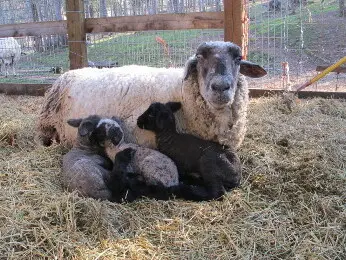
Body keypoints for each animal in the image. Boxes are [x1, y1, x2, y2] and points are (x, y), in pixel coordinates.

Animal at [37, 41, 264, 150]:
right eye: (200, 58)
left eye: (238, 59)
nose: (220, 87)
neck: (181, 92)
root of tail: (70, 71)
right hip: (46, 124)